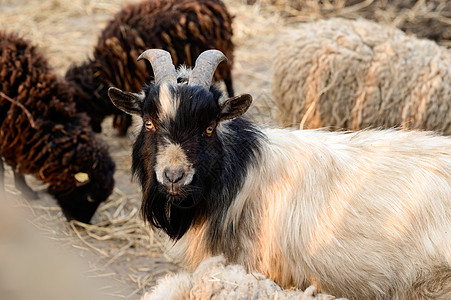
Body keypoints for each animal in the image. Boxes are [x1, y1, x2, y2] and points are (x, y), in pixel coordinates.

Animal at [65, 0, 235, 135]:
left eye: (81, 105)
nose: (95, 130)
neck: (107, 71)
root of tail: (219, 6)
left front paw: (123, 127)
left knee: (229, 79)